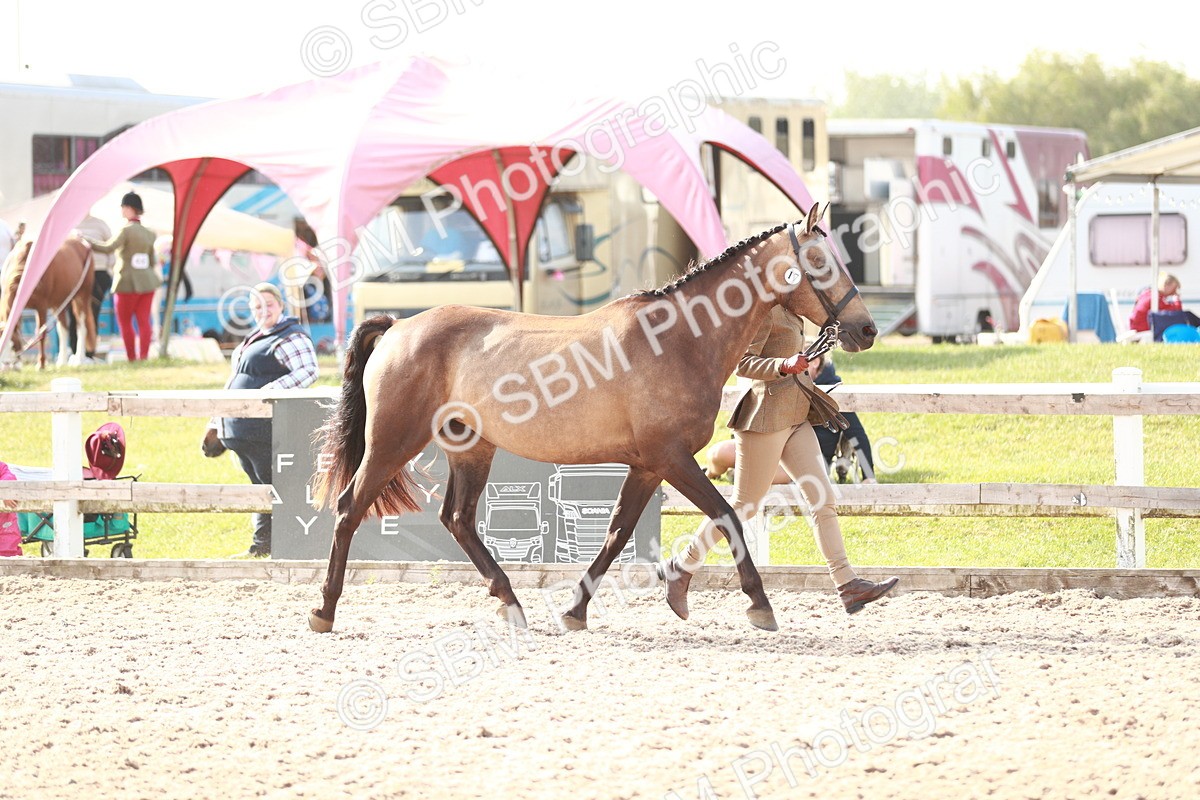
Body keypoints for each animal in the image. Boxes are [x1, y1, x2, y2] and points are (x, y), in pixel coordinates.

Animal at [0, 238, 96, 370]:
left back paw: (79, 359)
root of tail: (82, 243)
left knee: (81, 327)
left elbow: (41, 334)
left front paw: (41, 364)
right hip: (59, 302)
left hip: (82, 297)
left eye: (13, 346)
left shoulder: (41, 306)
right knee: (63, 329)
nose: (6, 366)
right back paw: (62, 360)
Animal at [309, 206, 877, 634]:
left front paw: (576, 611)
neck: (679, 340)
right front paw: (759, 605)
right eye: (819, 260)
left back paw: (511, 604)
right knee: (349, 509)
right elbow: (727, 517)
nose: (867, 329)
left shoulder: (647, 466)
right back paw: (324, 610)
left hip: (471, 448)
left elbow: (616, 535)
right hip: (392, 442)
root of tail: (398, 327)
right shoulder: (671, 458)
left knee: (458, 519)